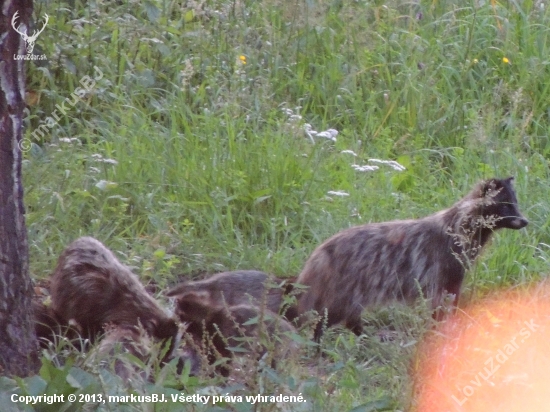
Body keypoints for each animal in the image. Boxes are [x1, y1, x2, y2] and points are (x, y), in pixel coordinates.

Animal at [298, 177, 532, 342]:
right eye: (505, 205)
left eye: (515, 203)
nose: (525, 221)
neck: (461, 225)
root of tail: (322, 251)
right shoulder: (446, 268)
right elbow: (443, 303)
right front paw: (444, 331)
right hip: (348, 284)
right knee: (329, 315)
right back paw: (318, 342)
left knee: (347, 316)